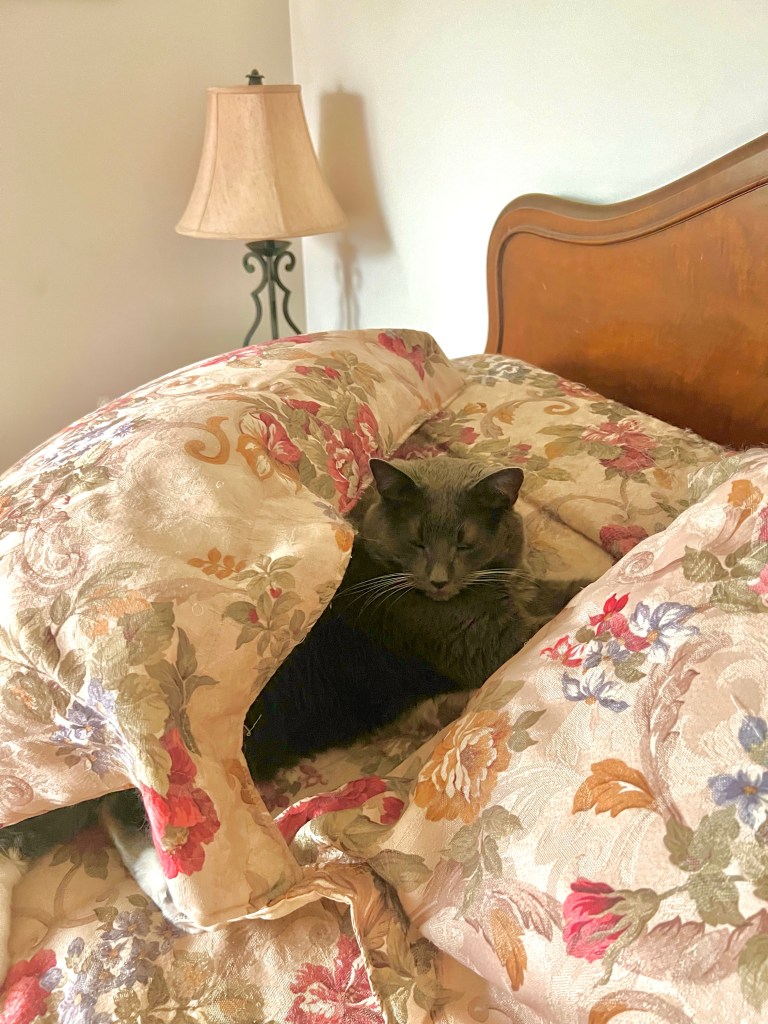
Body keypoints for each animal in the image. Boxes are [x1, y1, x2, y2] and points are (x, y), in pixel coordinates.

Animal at [0, 456, 587, 979]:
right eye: (418, 540)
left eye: (465, 542)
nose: (439, 579)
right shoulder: (483, 644)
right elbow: (551, 610)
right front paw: (598, 576)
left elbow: (549, 589)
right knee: (131, 815)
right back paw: (176, 899)